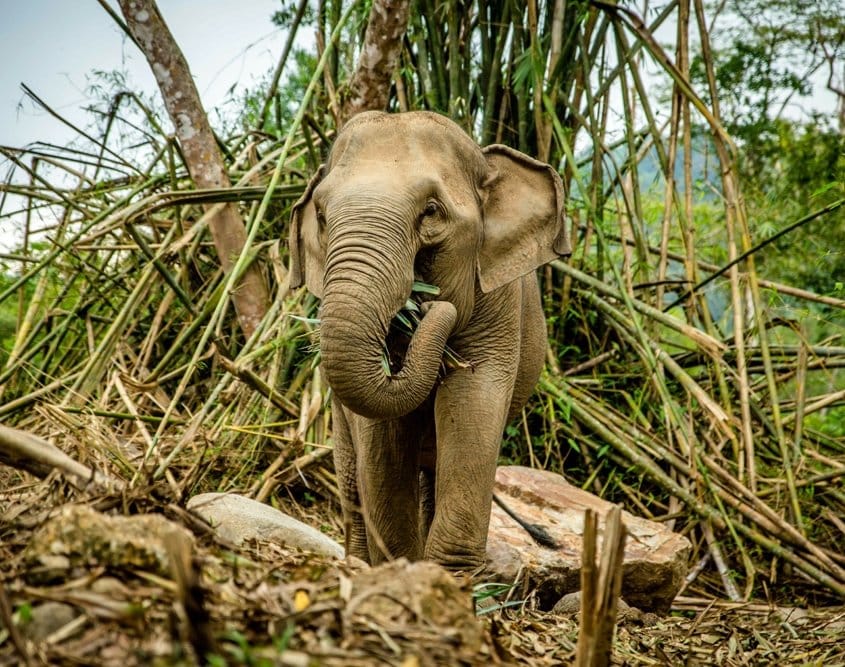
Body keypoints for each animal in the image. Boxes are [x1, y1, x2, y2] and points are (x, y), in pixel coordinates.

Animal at [288, 110, 570, 571]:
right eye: (324, 217)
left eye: (432, 212)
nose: (427, 303)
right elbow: (381, 441)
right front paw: (404, 568)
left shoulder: (499, 306)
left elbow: (475, 397)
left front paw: (449, 575)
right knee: (352, 480)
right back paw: (357, 563)